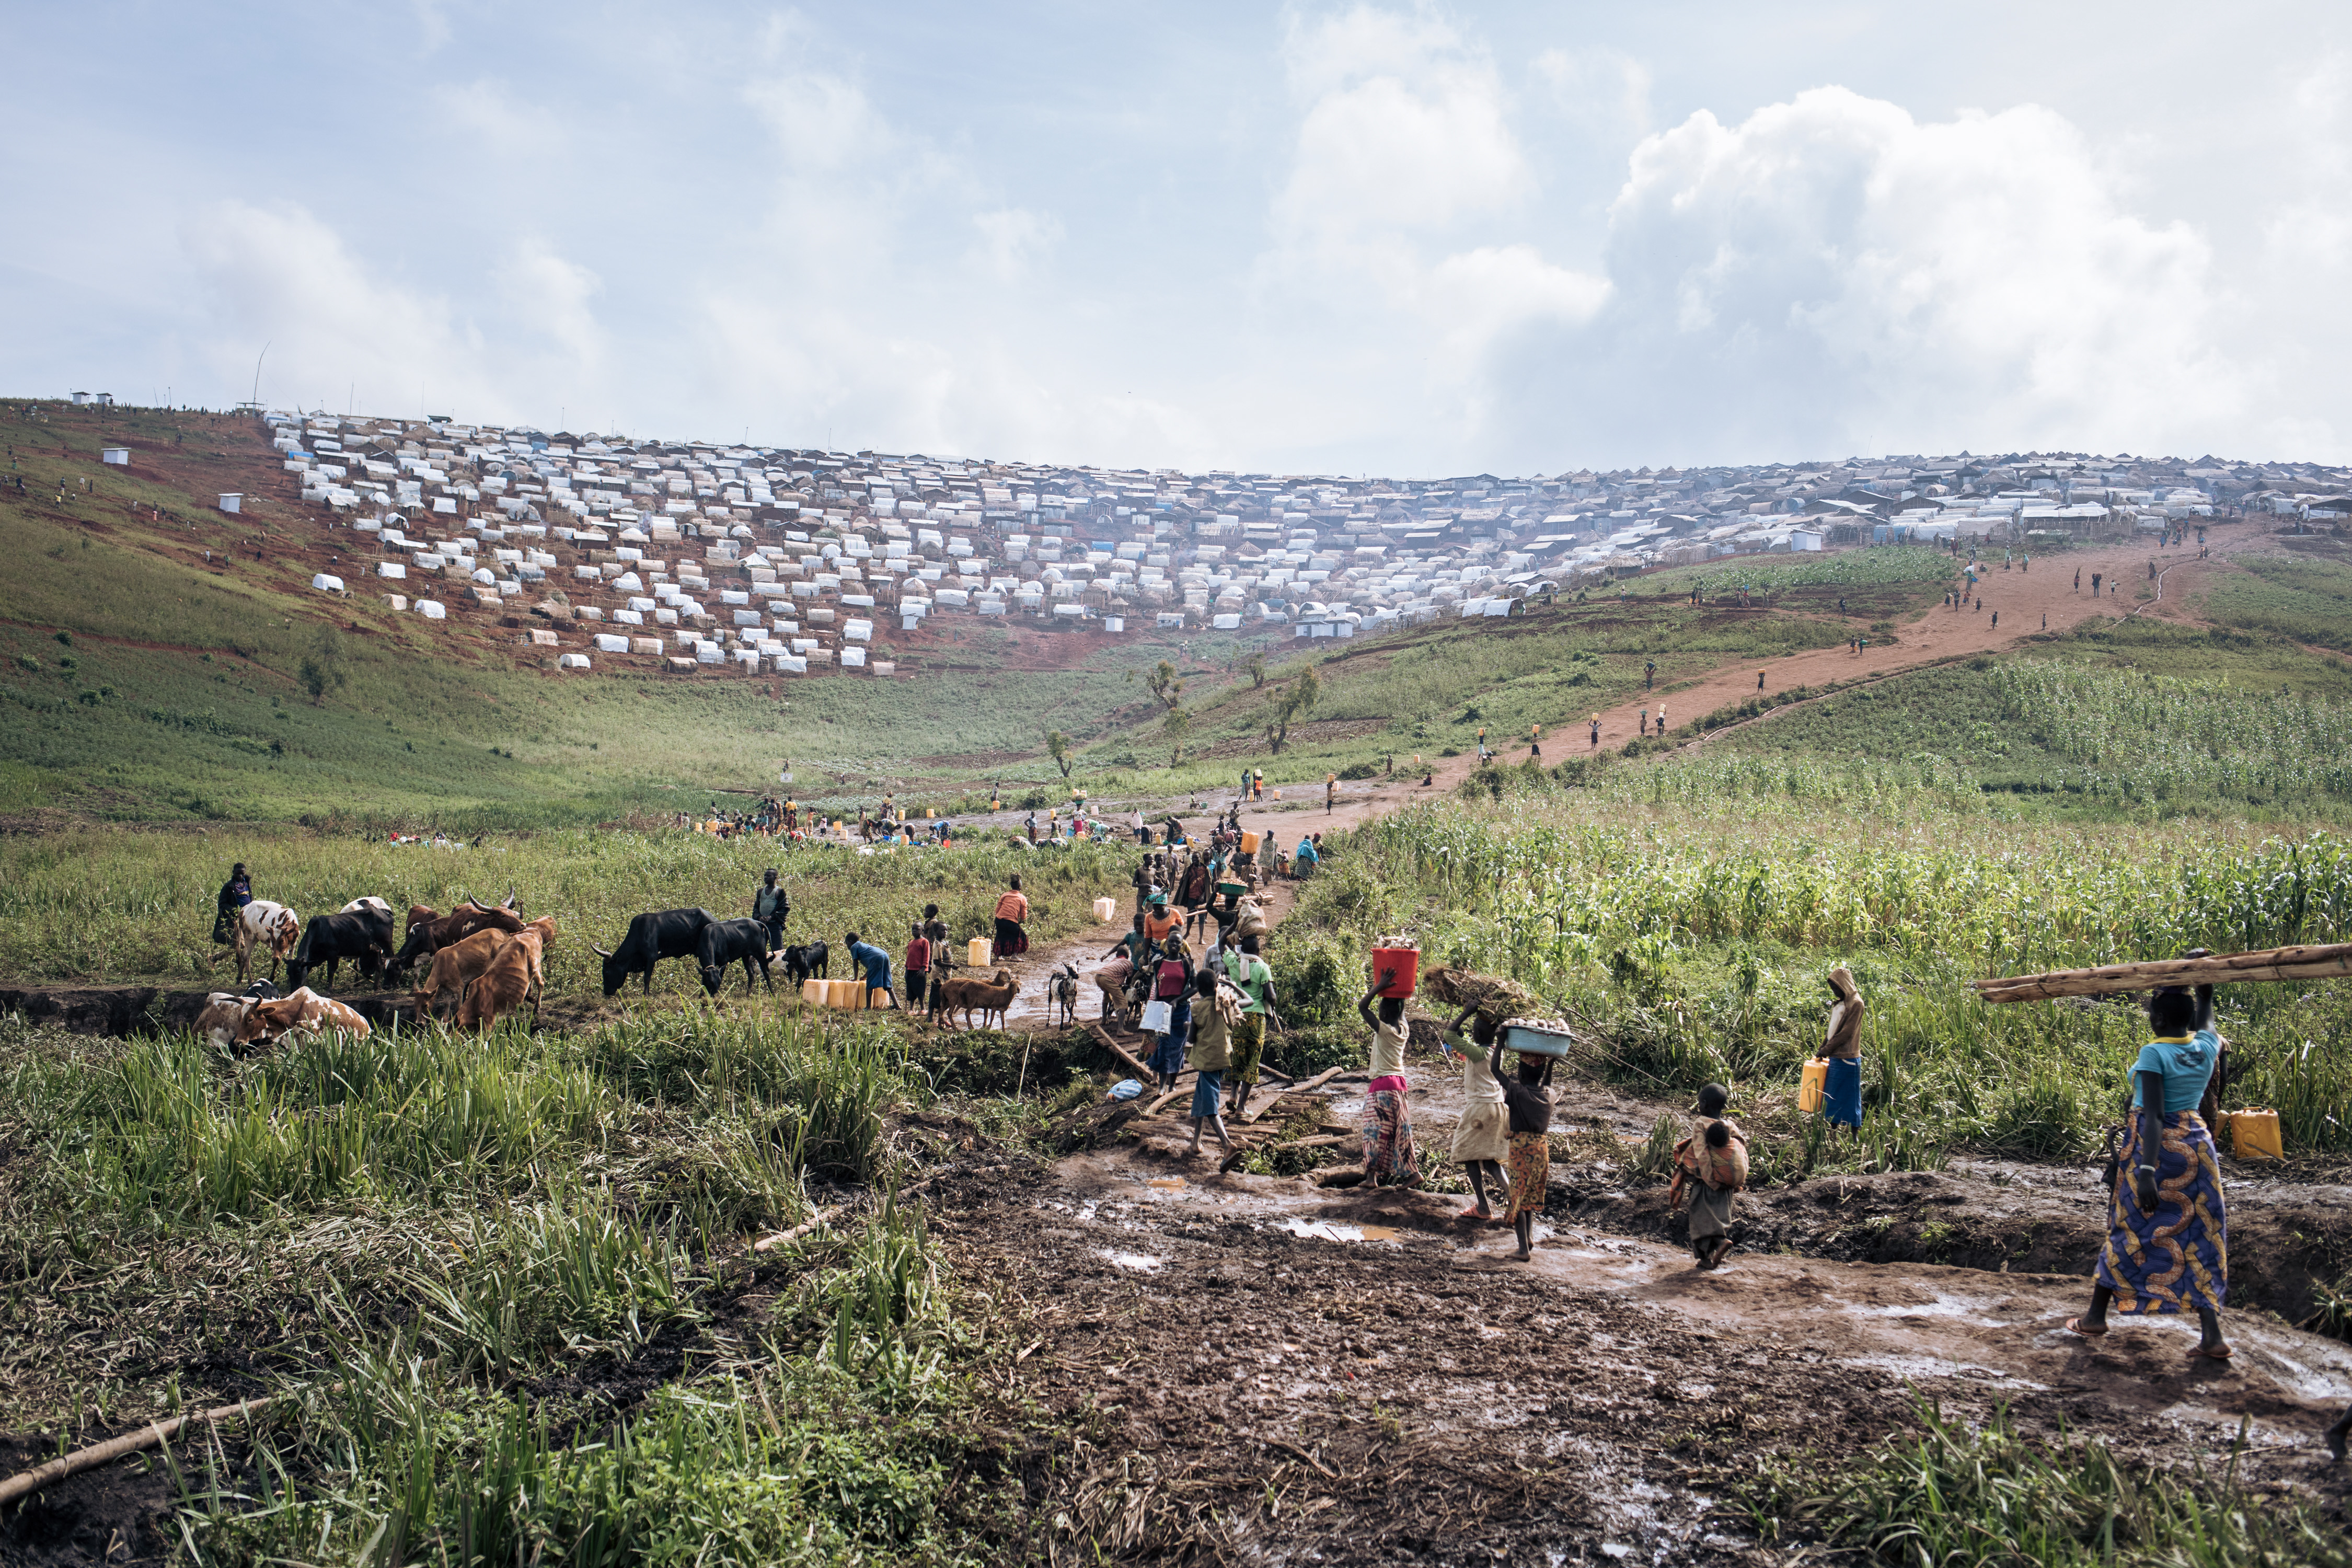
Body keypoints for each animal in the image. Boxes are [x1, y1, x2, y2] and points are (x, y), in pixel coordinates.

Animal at [234, 893, 303, 983]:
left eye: (282, 940)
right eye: (272, 940)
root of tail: (243, 909)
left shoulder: (294, 944)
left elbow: (290, 960)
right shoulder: (274, 948)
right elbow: (276, 961)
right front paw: (271, 978)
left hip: (255, 938)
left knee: (243, 954)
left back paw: (239, 978)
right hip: (249, 935)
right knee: (246, 956)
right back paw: (250, 979)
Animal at [283, 903, 397, 987]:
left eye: (298, 972)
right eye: (288, 973)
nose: (294, 990)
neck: (318, 931)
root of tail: (383, 911)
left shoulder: (332, 954)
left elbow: (331, 972)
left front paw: (329, 990)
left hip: (386, 944)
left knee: (392, 959)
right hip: (376, 948)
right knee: (380, 964)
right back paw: (376, 987)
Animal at [691, 921, 776, 992]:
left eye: (719, 981)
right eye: (711, 982)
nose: (714, 993)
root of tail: (758, 923)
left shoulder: (724, 961)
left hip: (761, 954)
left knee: (766, 973)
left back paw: (772, 994)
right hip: (746, 956)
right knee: (751, 974)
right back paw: (748, 995)